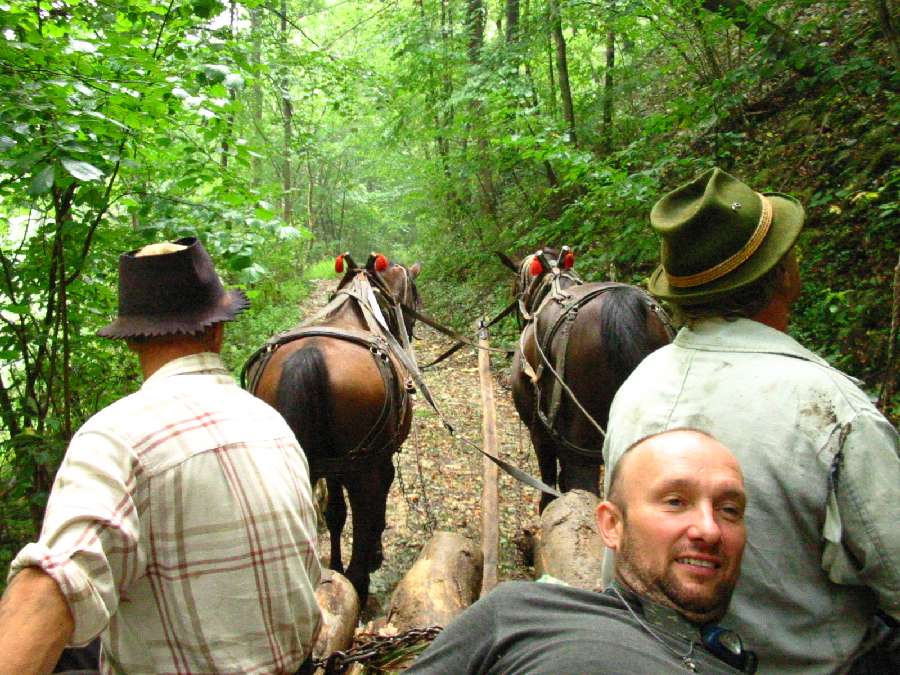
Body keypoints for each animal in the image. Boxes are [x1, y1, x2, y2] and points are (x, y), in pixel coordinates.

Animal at [244, 252, 421, 603]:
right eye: (415, 297)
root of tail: (308, 356)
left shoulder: (333, 465)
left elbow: (336, 514)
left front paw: (335, 566)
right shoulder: (378, 460)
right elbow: (376, 506)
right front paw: (375, 554)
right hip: (362, 467)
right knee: (364, 520)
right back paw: (359, 585)